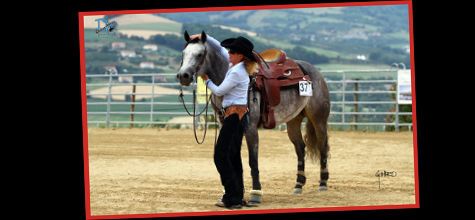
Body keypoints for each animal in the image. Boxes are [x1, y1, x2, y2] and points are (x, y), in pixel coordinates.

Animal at [176, 30, 330, 204]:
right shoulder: (226, 125)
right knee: (300, 148)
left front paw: (255, 193)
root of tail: (313, 72)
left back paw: (323, 183)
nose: (183, 76)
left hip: (319, 119)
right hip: (293, 121)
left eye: (200, 54)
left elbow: (252, 160)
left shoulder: (250, 128)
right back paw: (298, 185)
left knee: (322, 145)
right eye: (183, 53)